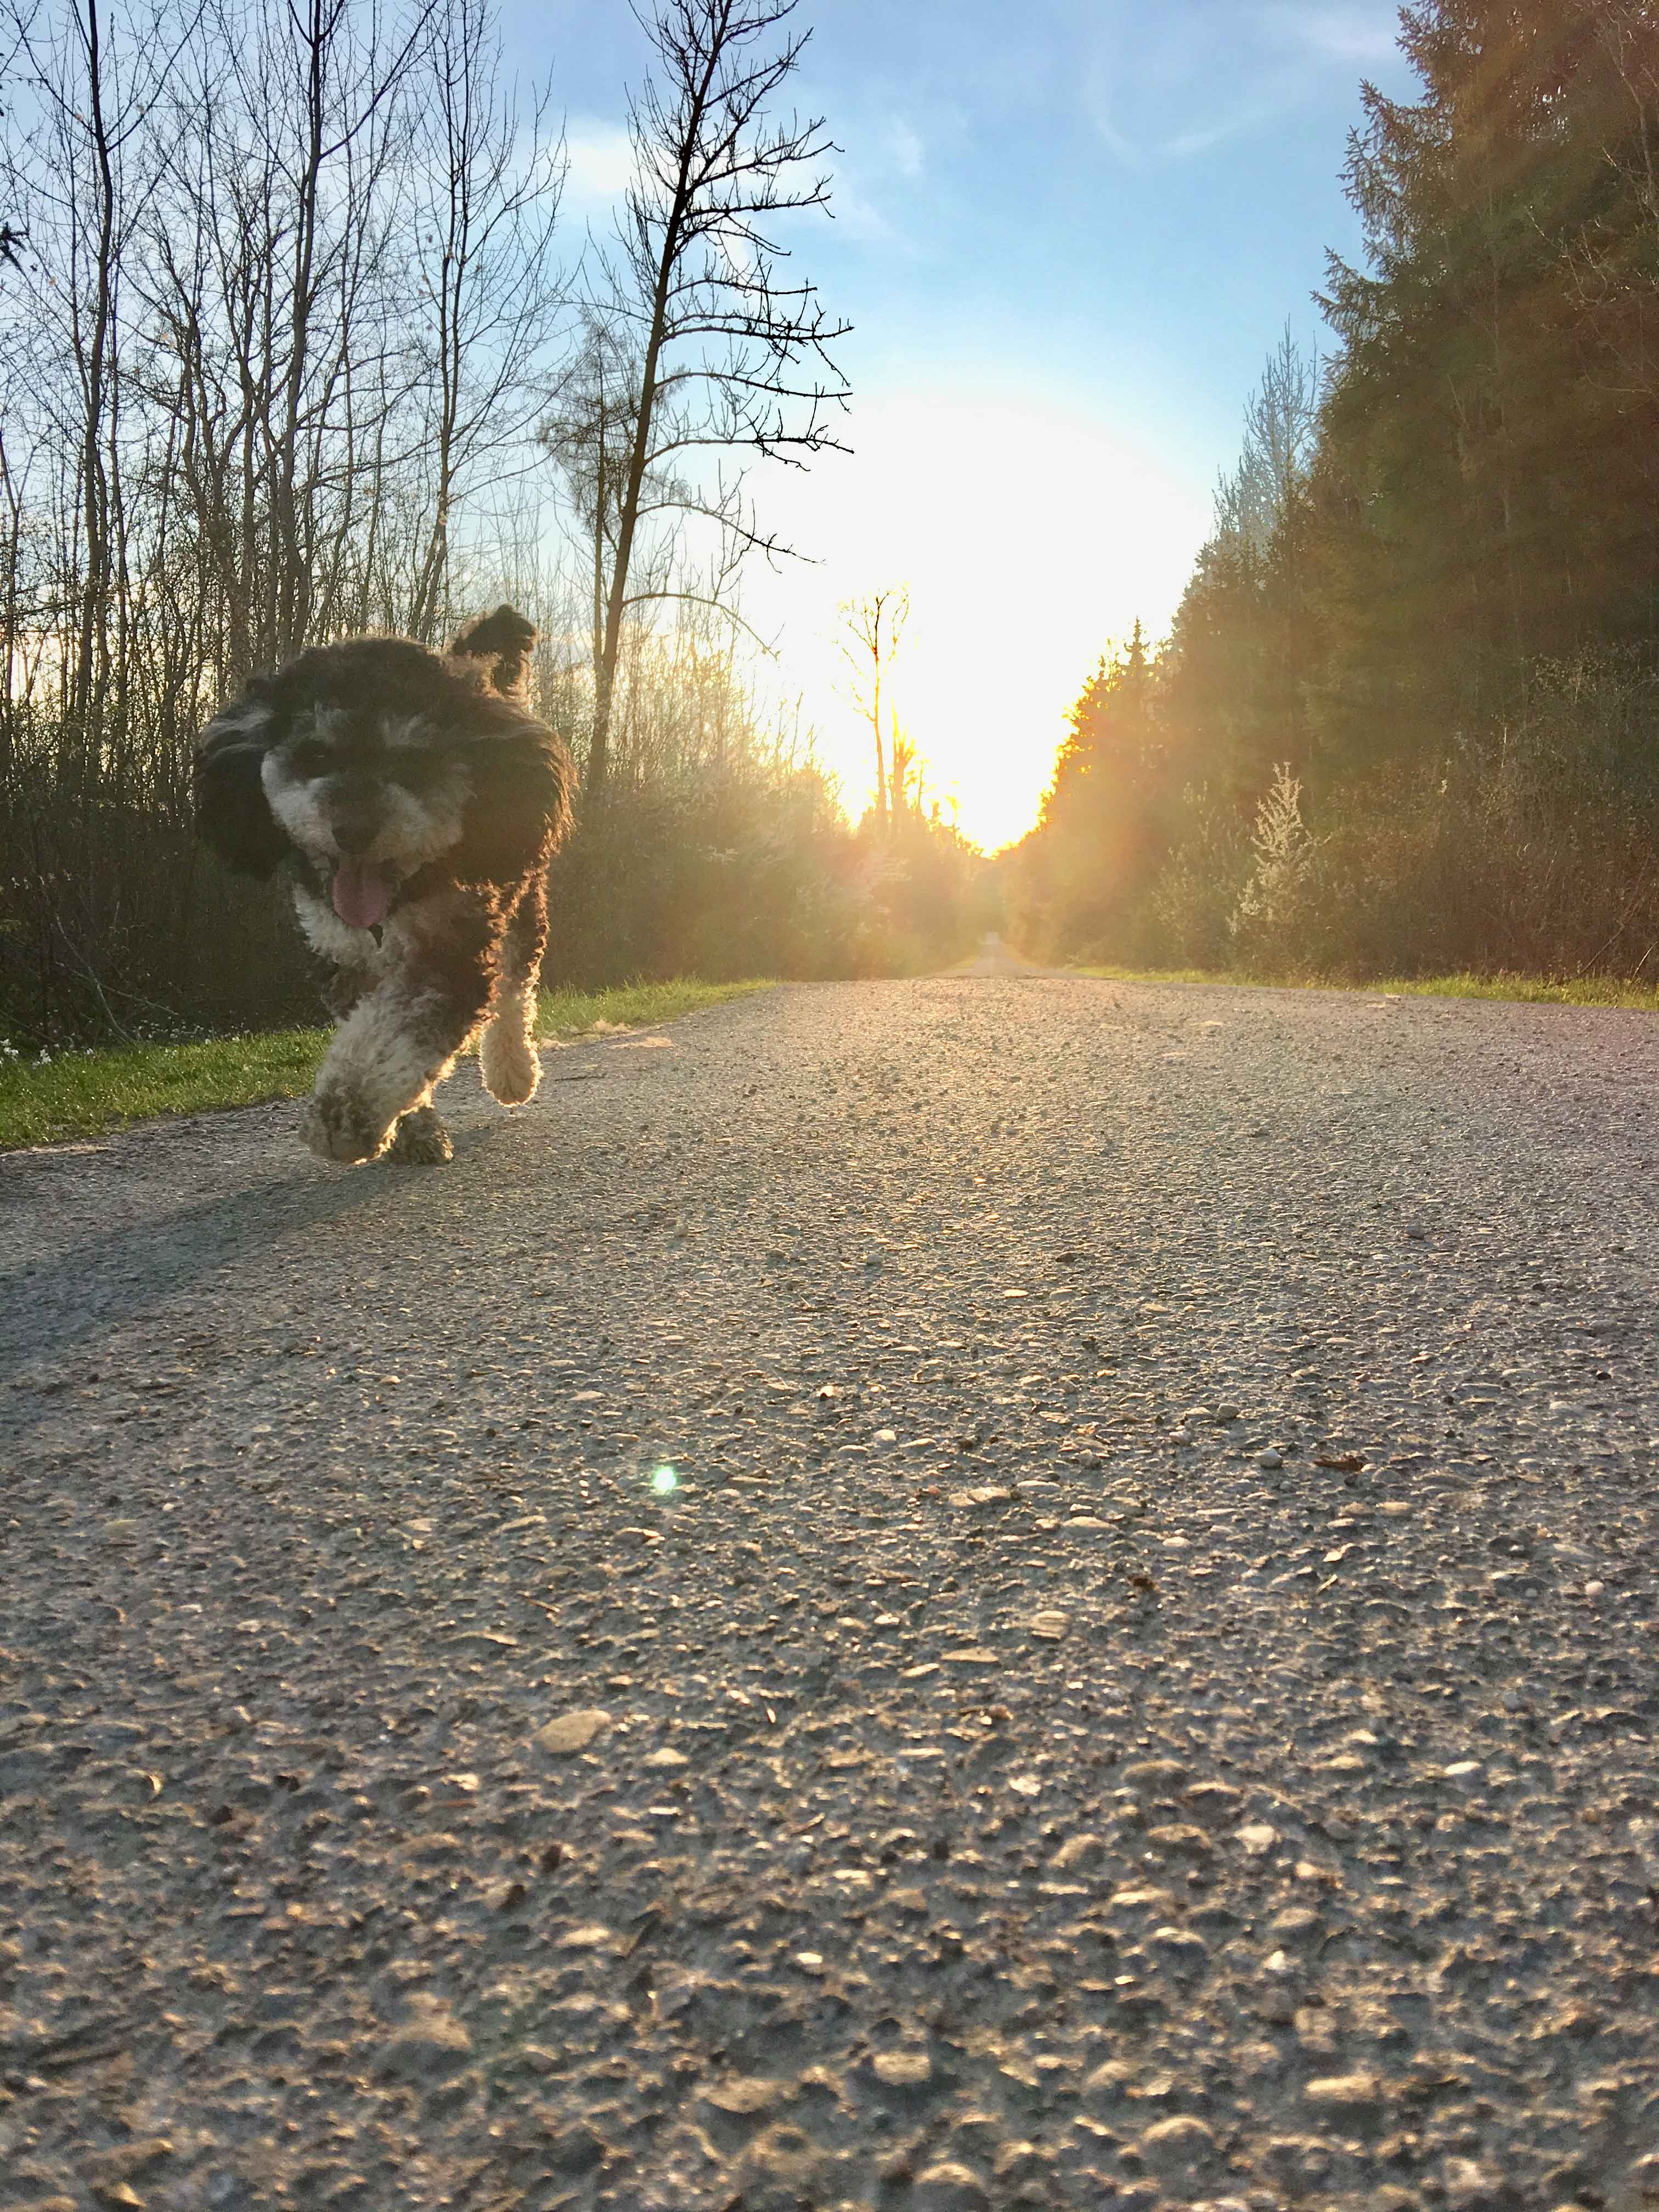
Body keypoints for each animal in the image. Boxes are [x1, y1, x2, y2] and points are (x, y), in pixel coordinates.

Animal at [198, 597, 575, 1167]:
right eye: (316, 755)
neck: (395, 904)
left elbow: (397, 1034)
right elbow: (377, 1037)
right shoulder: (343, 960)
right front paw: (415, 1128)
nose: (353, 830)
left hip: (523, 909)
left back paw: (513, 1073)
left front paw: (345, 1116)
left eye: (413, 759)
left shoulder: (452, 950)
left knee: (514, 993)